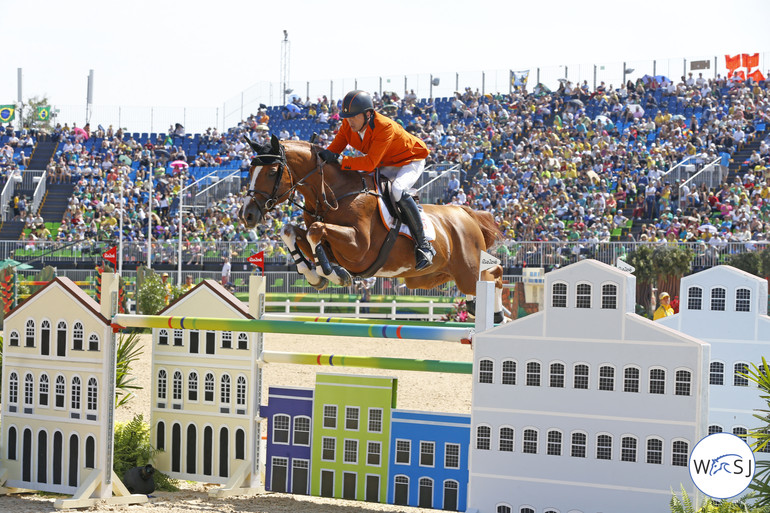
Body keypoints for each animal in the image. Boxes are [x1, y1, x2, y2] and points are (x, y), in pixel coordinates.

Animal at [240, 134, 504, 314]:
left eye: (272, 171)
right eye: (250, 171)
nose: (247, 215)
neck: (334, 194)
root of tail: (464, 212)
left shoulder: (359, 249)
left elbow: (316, 232)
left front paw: (333, 275)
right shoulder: (331, 245)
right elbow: (291, 232)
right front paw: (314, 275)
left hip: (467, 268)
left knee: (494, 276)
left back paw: (496, 313)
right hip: (427, 277)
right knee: (489, 277)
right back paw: (479, 306)